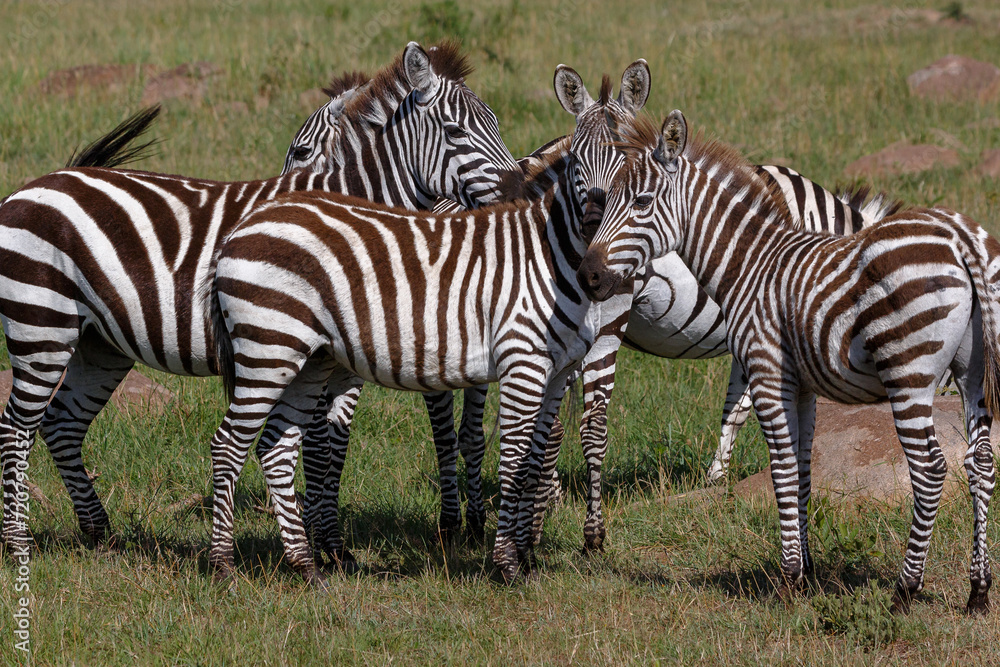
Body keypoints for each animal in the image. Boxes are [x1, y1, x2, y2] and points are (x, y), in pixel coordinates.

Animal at [0, 41, 519, 558]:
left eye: (498, 125)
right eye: (456, 131)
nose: (518, 191)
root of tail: (32, 185)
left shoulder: (342, 364)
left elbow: (333, 447)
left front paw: (330, 544)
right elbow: (316, 446)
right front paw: (316, 541)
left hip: (100, 343)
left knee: (61, 424)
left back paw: (98, 532)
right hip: (42, 325)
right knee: (16, 427)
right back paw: (17, 542)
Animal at [579, 111, 997, 615]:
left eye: (640, 202)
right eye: (606, 200)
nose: (588, 275)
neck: (751, 264)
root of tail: (959, 237)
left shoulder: (767, 372)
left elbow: (780, 468)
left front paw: (789, 578)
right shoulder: (804, 387)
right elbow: (802, 469)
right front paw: (809, 568)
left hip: (909, 375)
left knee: (932, 470)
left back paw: (905, 589)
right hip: (974, 374)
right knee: (980, 464)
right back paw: (978, 591)